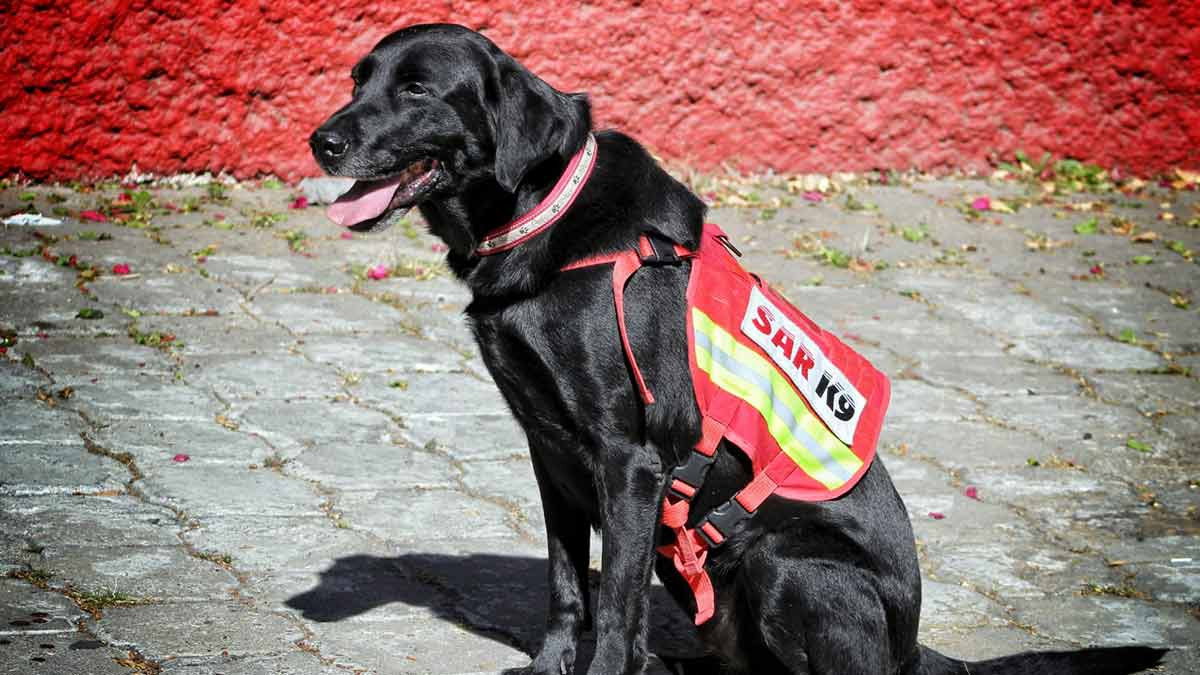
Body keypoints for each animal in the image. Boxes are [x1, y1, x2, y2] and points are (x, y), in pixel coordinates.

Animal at [307, 22, 1161, 672]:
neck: (542, 213)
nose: (321, 141)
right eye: (358, 79)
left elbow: (612, 604)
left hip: (781, 560)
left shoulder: (628, 459)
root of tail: (914, 648)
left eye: (417, 90)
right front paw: (552, 665)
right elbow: (567, 585)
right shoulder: (551, 452)